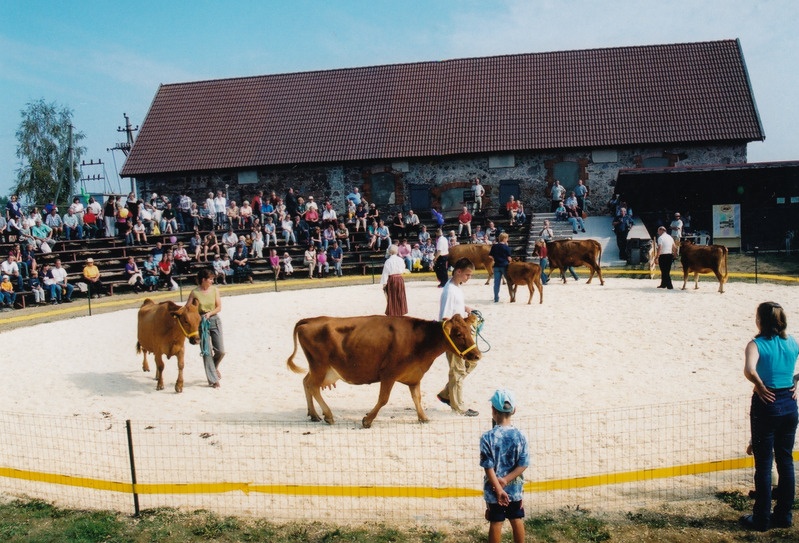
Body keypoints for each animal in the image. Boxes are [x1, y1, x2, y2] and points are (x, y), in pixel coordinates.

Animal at [288, 314, 482, 430]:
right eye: (458, 333)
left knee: (305, 382)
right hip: (320, 366)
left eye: (470, 330)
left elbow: (417, 398)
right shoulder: (388, 374)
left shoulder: (414, 376)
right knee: (313, 386)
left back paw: (314, 414)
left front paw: (423, 417)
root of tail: (311, 320)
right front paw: (367, 420)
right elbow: (383, 399)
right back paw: (327, 415)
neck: (419, 341)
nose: (477, 355)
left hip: (319, 369)